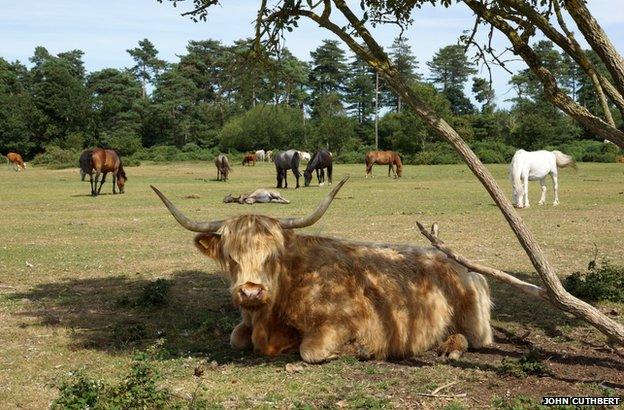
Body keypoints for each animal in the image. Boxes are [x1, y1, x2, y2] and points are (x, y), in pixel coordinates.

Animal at [152, 178, 492, 364]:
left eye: (272, 256)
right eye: (231, 258)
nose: (250, 291)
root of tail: (461, 265)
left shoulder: (340, 324)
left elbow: (310, 350)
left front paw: (354, 350)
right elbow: (236, 337)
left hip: (476, 326)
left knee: (474, 339)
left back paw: (451, 348)